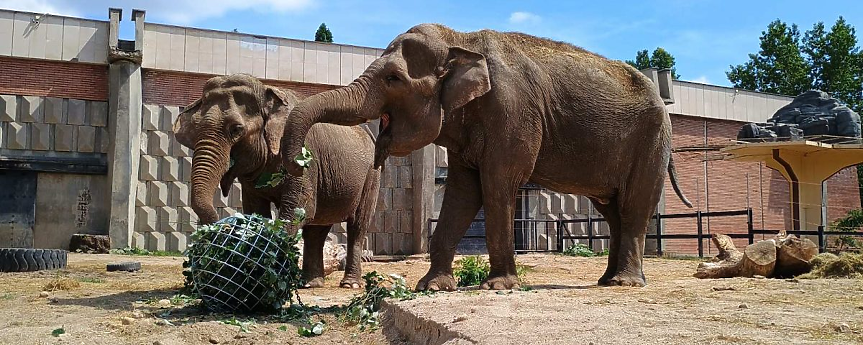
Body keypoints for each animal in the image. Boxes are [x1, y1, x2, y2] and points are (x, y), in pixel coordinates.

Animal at [172, 73, 382, 288]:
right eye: (195, 129)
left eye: (236, 129)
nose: (224, 228)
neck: (267, 91)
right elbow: (257, 211)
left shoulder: (304, 155)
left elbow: (296, 209)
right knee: (316, 229)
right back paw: (309, 283)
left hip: (372, 176)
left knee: (357, 225)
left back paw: (350, 284)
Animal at [280, 23, 692, 288]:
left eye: (394, 79)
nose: (297, 161)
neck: (461, 41)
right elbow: (463, 192)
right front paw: (432, 287)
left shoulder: (511, 113)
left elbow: (496, 185)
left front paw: (498, 286)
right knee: (612, 209)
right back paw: (608, 281)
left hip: (652, 141)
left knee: (634, 206)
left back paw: (625, 283)